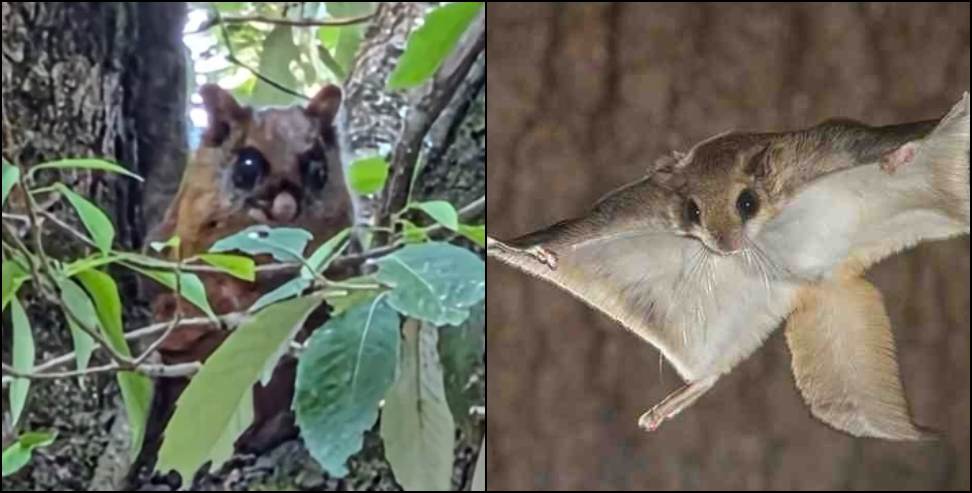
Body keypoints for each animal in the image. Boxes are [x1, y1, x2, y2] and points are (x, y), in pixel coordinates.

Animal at [488, 92, 969, 439]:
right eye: (694, 212)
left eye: (747, 202)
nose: (725, 246)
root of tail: (819, 282)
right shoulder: (635, 209)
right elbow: (572, 230)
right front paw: (534, 252)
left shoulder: (832, 149)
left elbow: (885, 142)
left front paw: (900, 156)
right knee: (712, 371)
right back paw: (669, 404)